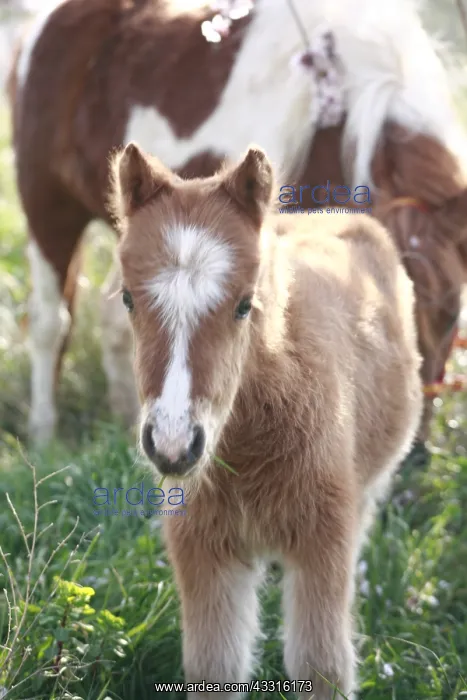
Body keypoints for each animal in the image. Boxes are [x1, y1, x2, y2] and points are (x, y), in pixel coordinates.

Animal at [110, 139, 423, 699]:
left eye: (243, 305)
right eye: (128, 297)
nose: (173, 444)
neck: (245, 450)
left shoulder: (323, 544)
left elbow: (321, 667)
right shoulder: (205, 553)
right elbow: (215, 669)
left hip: (367, 491)